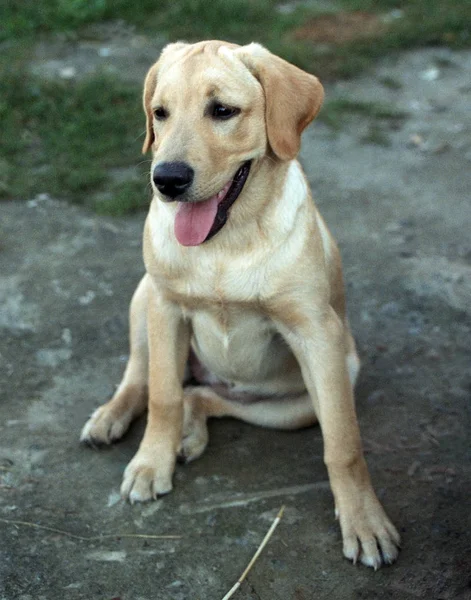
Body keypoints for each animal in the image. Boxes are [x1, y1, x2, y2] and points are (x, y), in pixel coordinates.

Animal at [81, 41, 402, 568]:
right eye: (160, 113)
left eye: (223, 111)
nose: (166, 179)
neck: (224, 243)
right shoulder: (165, 308)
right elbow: (163, 396)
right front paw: (150, 464)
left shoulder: (317, 335)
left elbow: (343, 443)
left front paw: (365, 522)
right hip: (143, 296)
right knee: (143, 377)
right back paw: (113, 417)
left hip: (302, 399)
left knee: (206, 397)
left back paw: (189, 433)